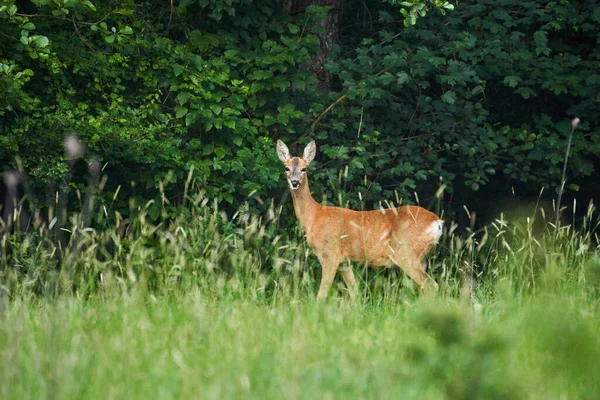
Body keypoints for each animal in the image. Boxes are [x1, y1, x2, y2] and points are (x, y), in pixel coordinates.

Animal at [278, 139, 446, 298]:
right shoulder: (345, 261)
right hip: (421, 256)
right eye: (286, 168)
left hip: (405, 252)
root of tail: (437, 222)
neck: (314, 216)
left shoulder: (330, 254)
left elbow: (321, 294)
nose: (295, 182)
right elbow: (355, 293)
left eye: (304, 168)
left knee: (431, 285)